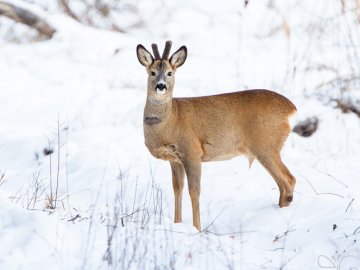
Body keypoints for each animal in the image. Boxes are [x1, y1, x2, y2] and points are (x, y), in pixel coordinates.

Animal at [136, 41, 296, 231]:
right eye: (152, 72)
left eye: (170, 72)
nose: (161, 86)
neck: (171, 120)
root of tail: (291, 109)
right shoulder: (175, 159)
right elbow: (177, 189)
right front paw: (178, 224)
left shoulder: (192, 151)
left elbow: (194, 191)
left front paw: (197, 229)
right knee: (283, 183)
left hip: (266, 146)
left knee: (289, 180)